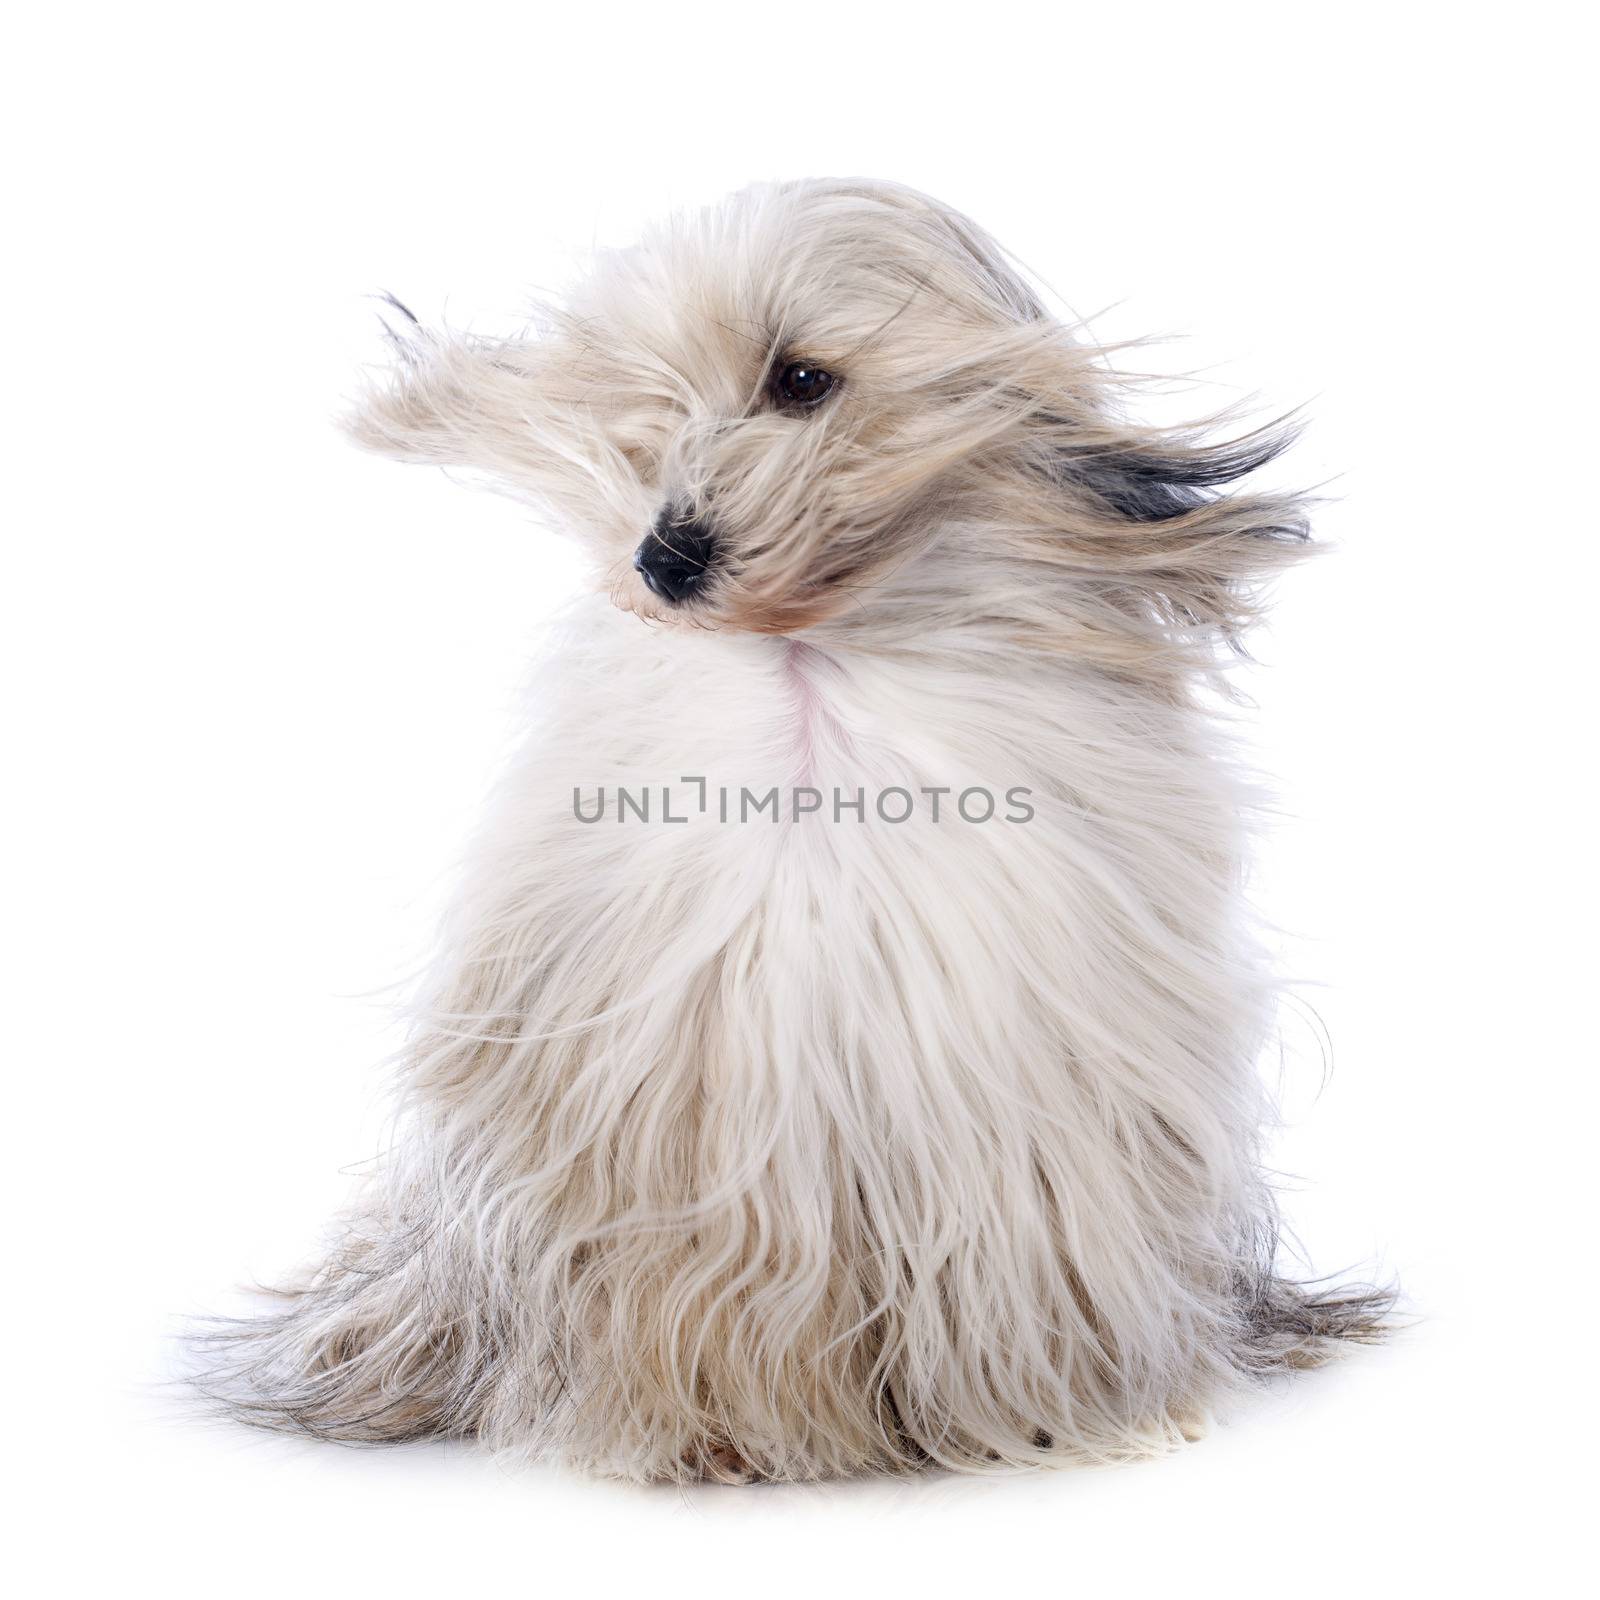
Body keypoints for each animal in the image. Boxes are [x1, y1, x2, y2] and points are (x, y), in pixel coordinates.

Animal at [193, 181, 1382, 1478]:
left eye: (802, 379)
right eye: (652, 404)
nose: (664, 557)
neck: (810, 676)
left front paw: (1039, 1414)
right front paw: (712, 1428)